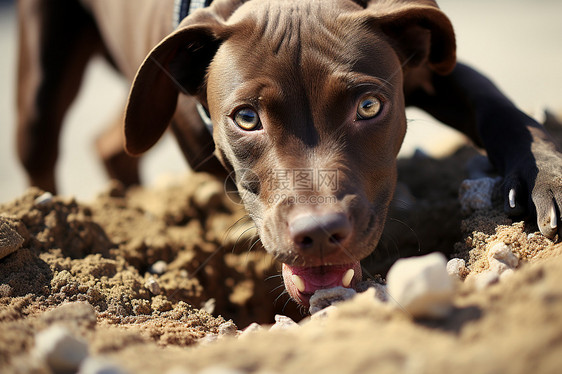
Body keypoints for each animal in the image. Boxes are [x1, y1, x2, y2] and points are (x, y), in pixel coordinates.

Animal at [16, 0, 560, 306]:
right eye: (246, 118)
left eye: (369, 106)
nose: (318, 234)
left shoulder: (434, 70)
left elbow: (503, 111)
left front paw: (545, 180)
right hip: (43, 81)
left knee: (114, 143)